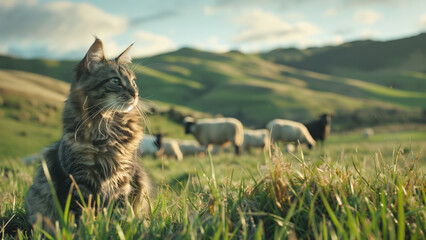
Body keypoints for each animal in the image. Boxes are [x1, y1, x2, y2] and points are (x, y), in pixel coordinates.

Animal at [25, 38, 151, 230]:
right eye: (115, 80)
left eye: (133, 82)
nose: (135, 93)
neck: (107, 128)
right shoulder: (79, 179)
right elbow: (79, 214)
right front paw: (84, 230)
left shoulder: (123, 179)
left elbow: (119, 211)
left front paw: (117, 229)